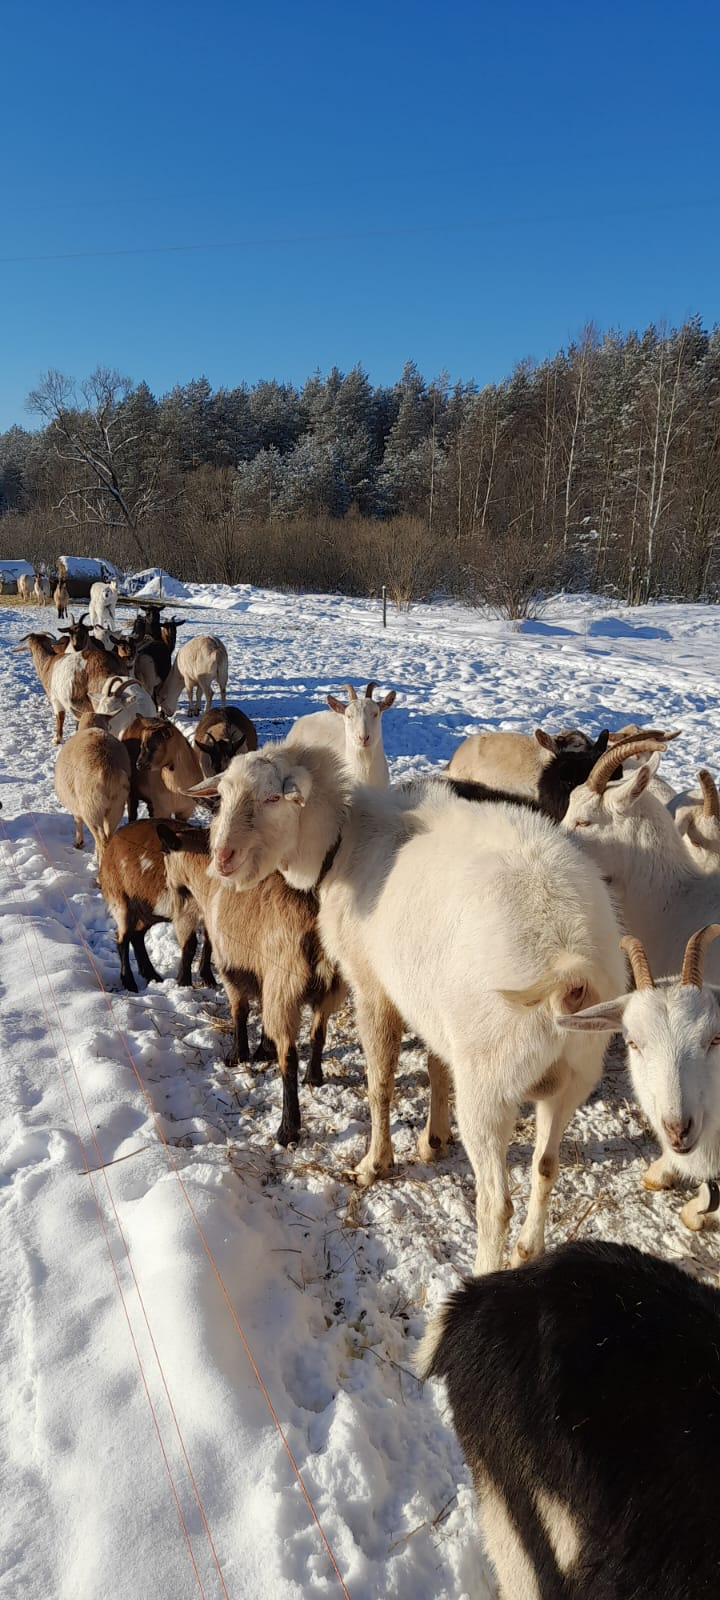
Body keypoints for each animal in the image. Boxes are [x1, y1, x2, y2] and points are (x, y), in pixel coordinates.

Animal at [158, 825, 348, 1152]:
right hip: (327, 991)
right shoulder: (260, 972)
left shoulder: (231, 965)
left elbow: (240, 1009)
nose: (171, 894)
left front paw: (238, 1054)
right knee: (318, 1033)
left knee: (289, 1057)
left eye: (165, 856)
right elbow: (260, 1012)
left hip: (285, 988)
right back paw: (314, 1077)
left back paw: (287, 1130)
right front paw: (262, 1049)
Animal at [192, 739, 624, 1273]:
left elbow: (380, 1085)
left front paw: (374, 1163)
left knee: (496, 1204)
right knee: (546, 1167)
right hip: (572, 1079)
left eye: (274, 798)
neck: (345, 841)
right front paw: (432, 1140)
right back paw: (528, 1250)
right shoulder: (431, 1000)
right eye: (222, 795)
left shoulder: (374, 988)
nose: (222, 859)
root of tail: (572, 966)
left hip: (490, 1085)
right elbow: (437, 1068)